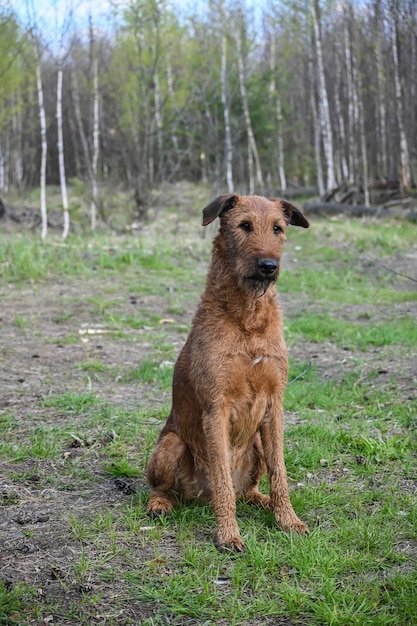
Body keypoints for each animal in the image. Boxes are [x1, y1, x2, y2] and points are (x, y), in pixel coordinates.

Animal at [146, 193, 308, 548]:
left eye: (278, 228)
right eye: (244, 225)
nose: (268, 266)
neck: (248, 317)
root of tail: (199, 498)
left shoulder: (274, 405)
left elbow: (280, 473)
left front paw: (288, 520)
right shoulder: (215, 408)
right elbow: (221, 477)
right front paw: (228, 534)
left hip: (257, 443)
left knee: (248, 490)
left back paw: (262, 501)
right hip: (170, 445)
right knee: (164, 487)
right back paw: (160, 504)